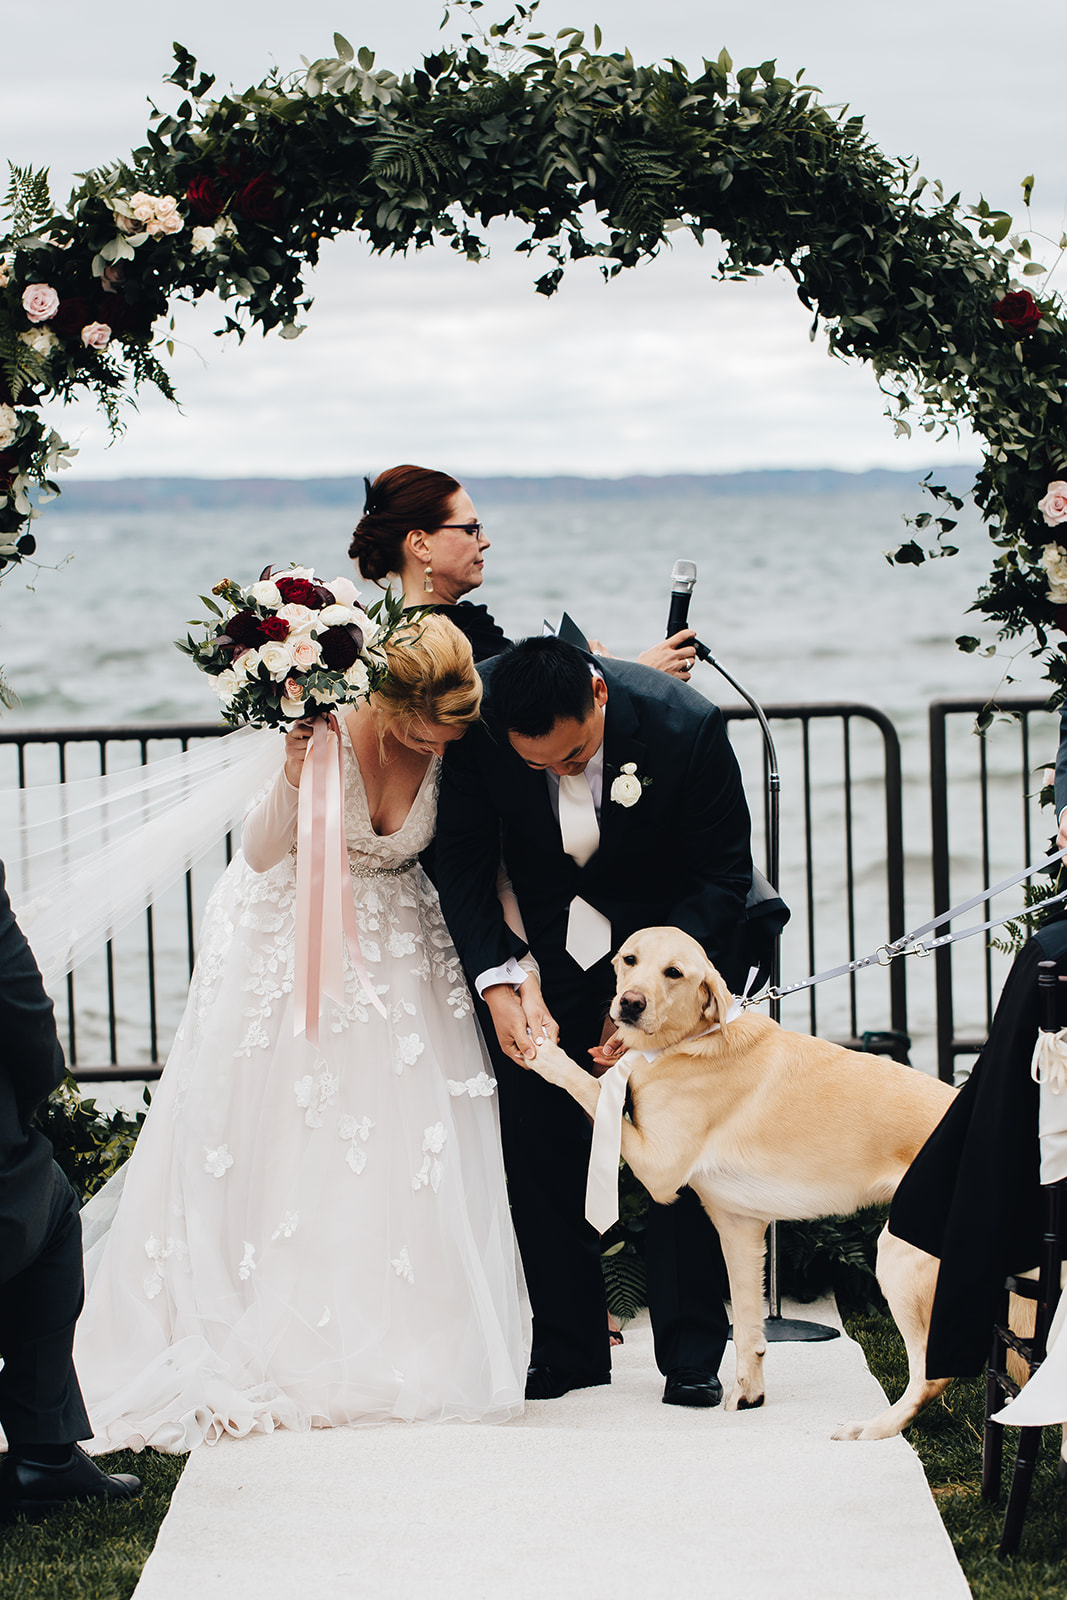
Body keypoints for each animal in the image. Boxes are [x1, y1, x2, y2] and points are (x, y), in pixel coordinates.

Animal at [534, 928, 959, 1440]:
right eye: (629, 959)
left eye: (674, 972)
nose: (630, 1003)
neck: (688, 1043)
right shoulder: (740, 1229)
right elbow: (748, 1329)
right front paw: (748, 1394)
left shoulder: (659, 1172)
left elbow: (588, 1086)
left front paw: (544, 1054)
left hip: (899, 1259)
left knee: (932, 1375)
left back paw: (874, 1428)